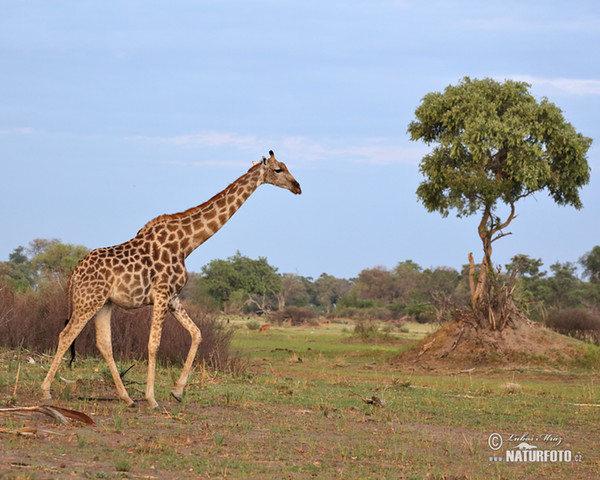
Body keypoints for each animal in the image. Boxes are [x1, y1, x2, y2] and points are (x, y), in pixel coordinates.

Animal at [41, 151, 300, 408]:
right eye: (278, 169)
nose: (297, 187)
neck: (186, 244)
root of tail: (75, 271)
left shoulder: (173, 298)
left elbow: (197, 333)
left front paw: (177, 391)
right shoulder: (162, 294)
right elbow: (154, 343)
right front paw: (152, 398)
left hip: (104, 304)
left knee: (104, 344)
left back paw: (127, 398)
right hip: (89, 301)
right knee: (66, 335)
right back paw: (46, 392)